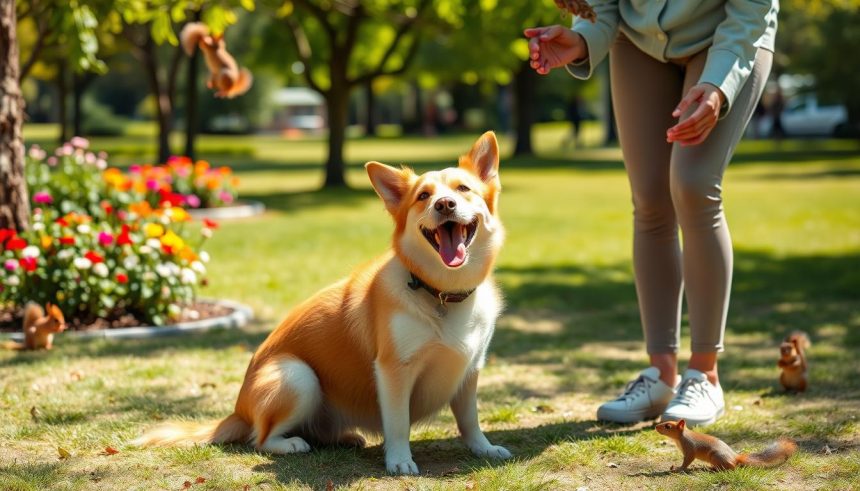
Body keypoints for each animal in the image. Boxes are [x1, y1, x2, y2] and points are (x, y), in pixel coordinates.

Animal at [133, 132, 510, 476]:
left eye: (463, 189)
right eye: (423, 196)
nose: (444, 204)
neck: (441, 291)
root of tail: (238, 411)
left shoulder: (470, 369)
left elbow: (470, 419)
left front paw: (483, 448)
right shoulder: (393, 370)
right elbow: (398, 422)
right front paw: (400, 460)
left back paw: (344, 437)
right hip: (297, 376)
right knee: (260, 439)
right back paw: (292, 443)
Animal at [660, 418, 800, 472]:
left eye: (668, 426)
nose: (656, 427)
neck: (680, 438)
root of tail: (735, 457)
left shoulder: (689, 449)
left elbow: (687, 461)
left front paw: (678, 468)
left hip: (716, 457)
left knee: (732, 467)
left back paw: (713, 469)